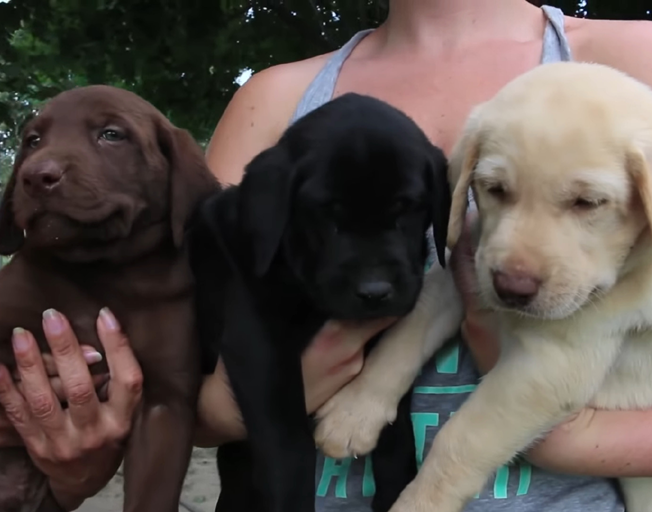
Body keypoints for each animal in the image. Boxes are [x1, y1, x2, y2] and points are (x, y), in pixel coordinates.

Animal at [191, 93, 450, 512]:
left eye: (407, 209)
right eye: (328, 214)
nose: (375, 291)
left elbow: (395, 429)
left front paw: (395, 490)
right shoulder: (258, 344)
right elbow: (287, 444)